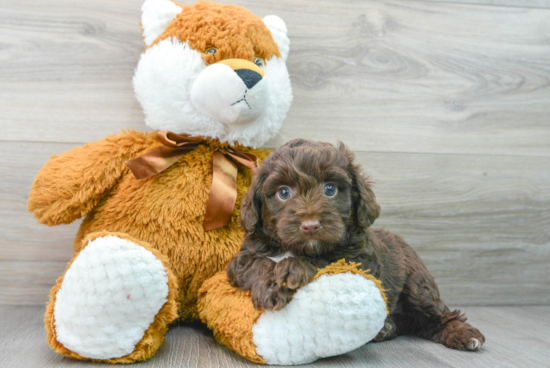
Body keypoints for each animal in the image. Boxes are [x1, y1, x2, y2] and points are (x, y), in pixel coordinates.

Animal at [227, 139, 488, 350]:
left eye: (330, 189)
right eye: (283, 193)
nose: (310, 225)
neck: (294, 247)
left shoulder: (361, 259)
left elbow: (327, 258)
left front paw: (292, 267)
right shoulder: (241, 260)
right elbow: (256, 264)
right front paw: (270, 286)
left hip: (417, 283)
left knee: (435, 315)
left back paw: (463, 334)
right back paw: (386, 328)